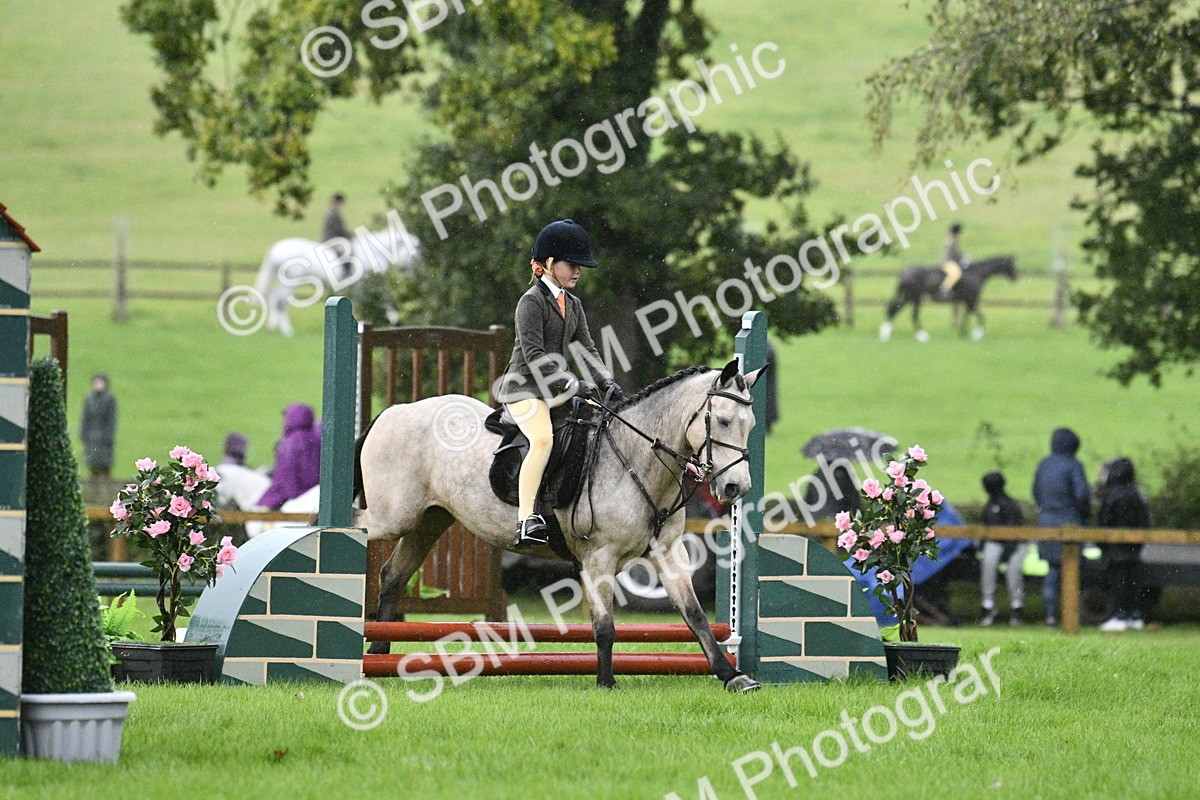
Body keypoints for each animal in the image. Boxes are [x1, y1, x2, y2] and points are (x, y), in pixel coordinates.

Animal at [255, 227, 420, 337]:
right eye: (415, 254)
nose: (412, 275)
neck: (375, 251)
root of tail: (275, 249)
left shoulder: (357, 288)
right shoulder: (367, 286)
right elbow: (385, 300)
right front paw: (393, 319)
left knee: (274, 299)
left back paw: (274, 326)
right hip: (290, 283)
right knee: (280, 301)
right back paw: (287, 331)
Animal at [355, 360, 767, 692]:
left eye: (751, 426)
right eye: (723, 421)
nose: (736, 488)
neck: (636, 459)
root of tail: (393, 411)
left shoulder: (667, 552)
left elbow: (694, 615)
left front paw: (732, 676)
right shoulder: (599, 558)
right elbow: (605, 626)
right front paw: (606, 682)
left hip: (428, 521)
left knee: (393, 575)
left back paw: (379, 653)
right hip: (392, 517)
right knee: (357, 528)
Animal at [879, 255, 1017, 342]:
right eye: (1011, 265)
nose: (1017, 277)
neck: (976, 273)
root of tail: (904, 273)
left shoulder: (968, 301)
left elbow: (968, 315)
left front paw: (963, 333)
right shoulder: (972, 300)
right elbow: (981, 317)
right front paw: (976, 335)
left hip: (909, 297)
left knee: (894, 310)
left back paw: (885, 334)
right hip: (913, 297)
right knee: (910, 314)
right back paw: (922, 337)